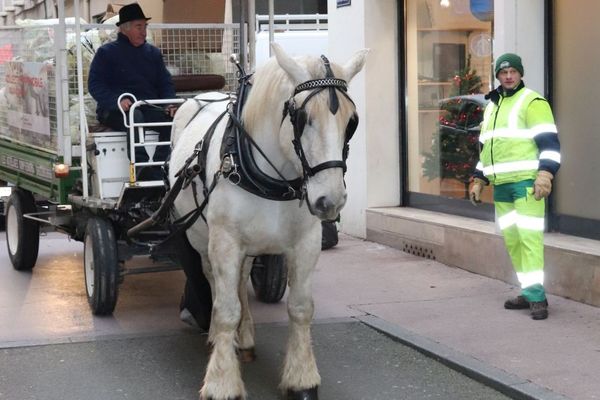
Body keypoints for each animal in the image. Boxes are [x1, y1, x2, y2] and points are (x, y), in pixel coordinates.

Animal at [168, 42, 366, 398]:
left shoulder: (306, 244)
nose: (330, 201)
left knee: (241, 281)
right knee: (215, 282)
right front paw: (222, 381)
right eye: (302, 118)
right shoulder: (225, 242)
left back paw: (244, 338)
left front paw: (302, 378)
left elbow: (300, 308)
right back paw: (219, 338)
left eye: (352, 121)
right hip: (202, 237)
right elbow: (225, 309)